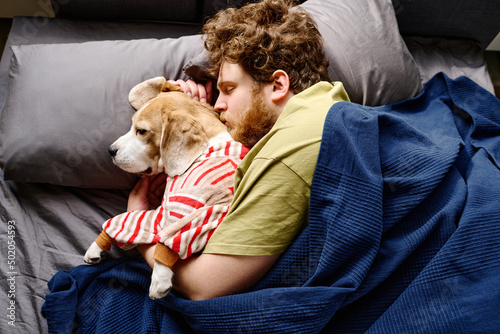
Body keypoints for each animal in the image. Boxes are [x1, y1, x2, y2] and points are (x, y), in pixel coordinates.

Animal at [84, 77, 248, 298]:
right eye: (131, 125)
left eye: (141, 131)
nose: (110, 150)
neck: (204, 149)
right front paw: (97, 247)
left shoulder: (186, 207)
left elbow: (163, 233)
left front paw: (159, 278)